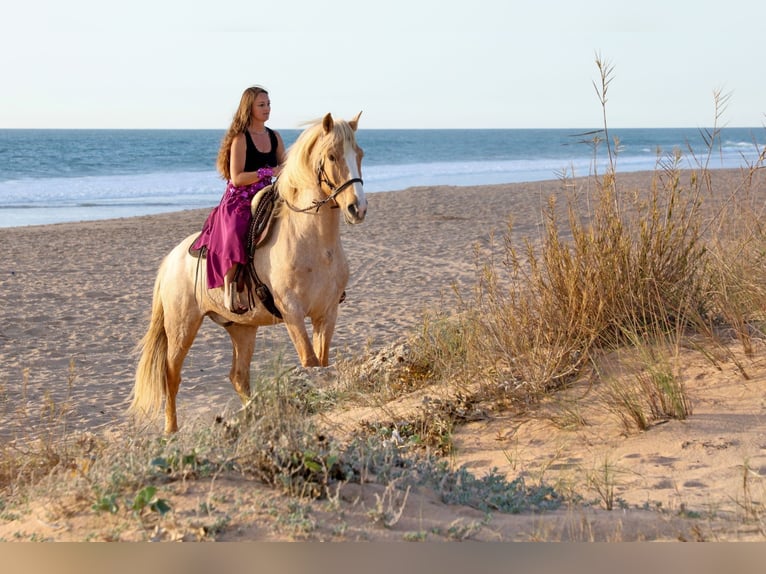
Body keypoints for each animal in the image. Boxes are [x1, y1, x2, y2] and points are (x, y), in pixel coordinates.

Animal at [130, 112, 368, 432]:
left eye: (359, 154)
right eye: (332, 156)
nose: (358, 208)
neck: (312, 241)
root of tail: (170, 260)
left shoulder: (326, 313)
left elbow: (322, 362)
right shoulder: (292, 312)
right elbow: (309, 362)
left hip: (242, 329)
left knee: (238, 376)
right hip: (181, 326)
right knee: (171, 375)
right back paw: (171, 431)